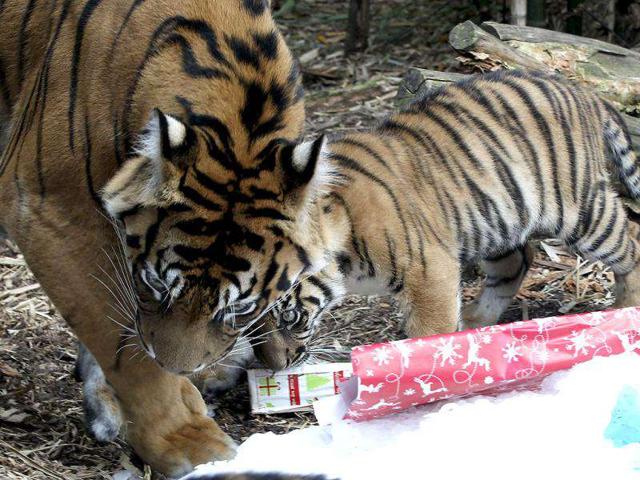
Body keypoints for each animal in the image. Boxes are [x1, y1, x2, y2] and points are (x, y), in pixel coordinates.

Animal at [0, 0, 306, 476]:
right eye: (160, 286)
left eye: (239, 307)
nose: (287, 360)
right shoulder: (49, 208)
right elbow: (125, 346)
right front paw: (186, 439)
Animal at [251, 69, 640, 371]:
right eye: (245, 325)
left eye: (290, 317)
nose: (276, 368)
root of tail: (584, 91)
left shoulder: (429, 273)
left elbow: (429, 335)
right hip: (496, 218)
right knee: (517, 262)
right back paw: (474, 321)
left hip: (581, 212)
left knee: (630, 243)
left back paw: (624, 311)